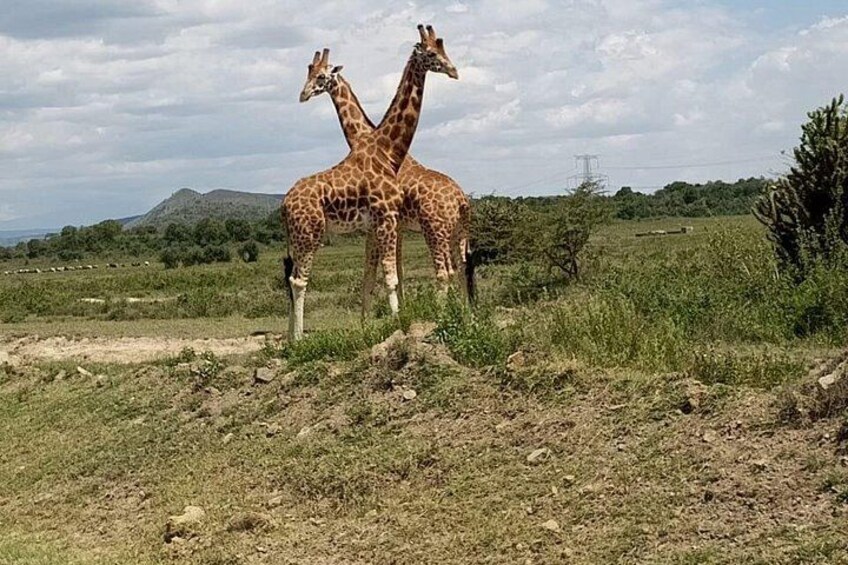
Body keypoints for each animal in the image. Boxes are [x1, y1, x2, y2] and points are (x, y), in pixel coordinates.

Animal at [282, 24, 458, 340]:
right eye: (430, 53)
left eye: (441, 49)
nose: (454, 70)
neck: (385, 148)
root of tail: (283, 204)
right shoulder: (384, 219)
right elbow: (388, 275)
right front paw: (394, 322)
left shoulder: (381, 223)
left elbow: (379, 274)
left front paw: (379, 323)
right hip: (309, 233)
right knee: (298, 280)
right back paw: (298, 339)